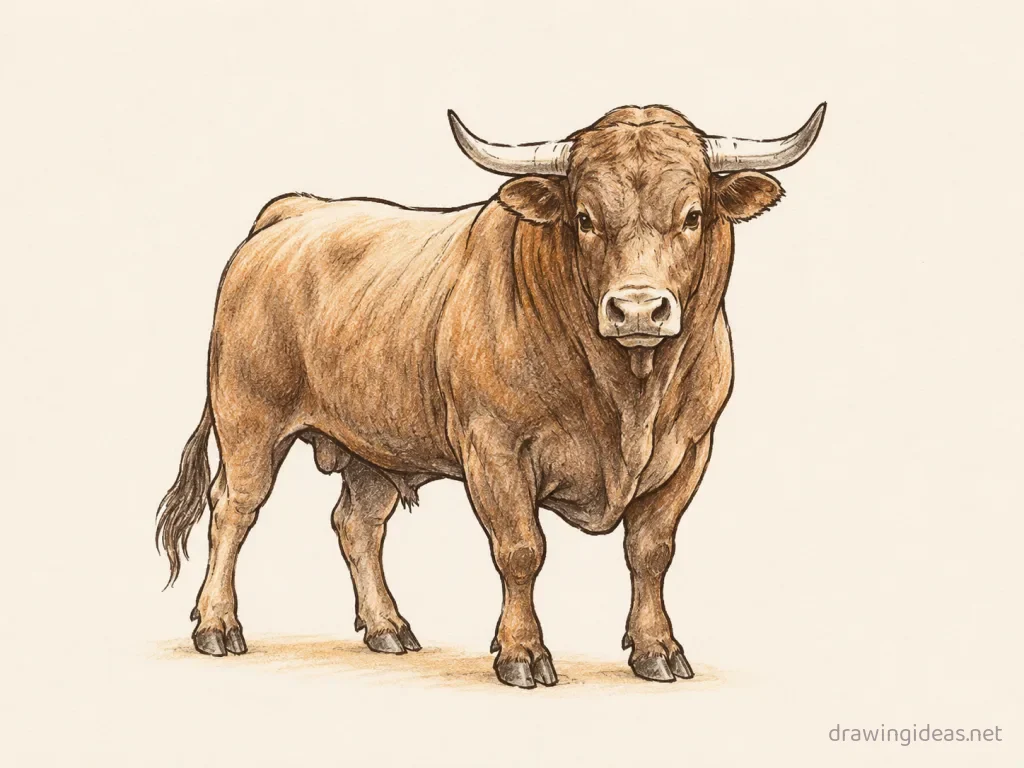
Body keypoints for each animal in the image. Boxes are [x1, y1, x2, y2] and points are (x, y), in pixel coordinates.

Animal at [157, 103, 825, 688]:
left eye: (692, 215)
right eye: (584, 217)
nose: (638, 308)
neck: (628, 397)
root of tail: (295, 213)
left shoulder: (689, 450)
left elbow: (651, 552)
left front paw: (657, 649)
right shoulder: (495, 447)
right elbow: (522, 550)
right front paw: (522, 654)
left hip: (372, 445)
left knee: (357, 524)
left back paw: (388, 628)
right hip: (249, 420)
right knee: (233, 510)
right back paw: (217, 626)